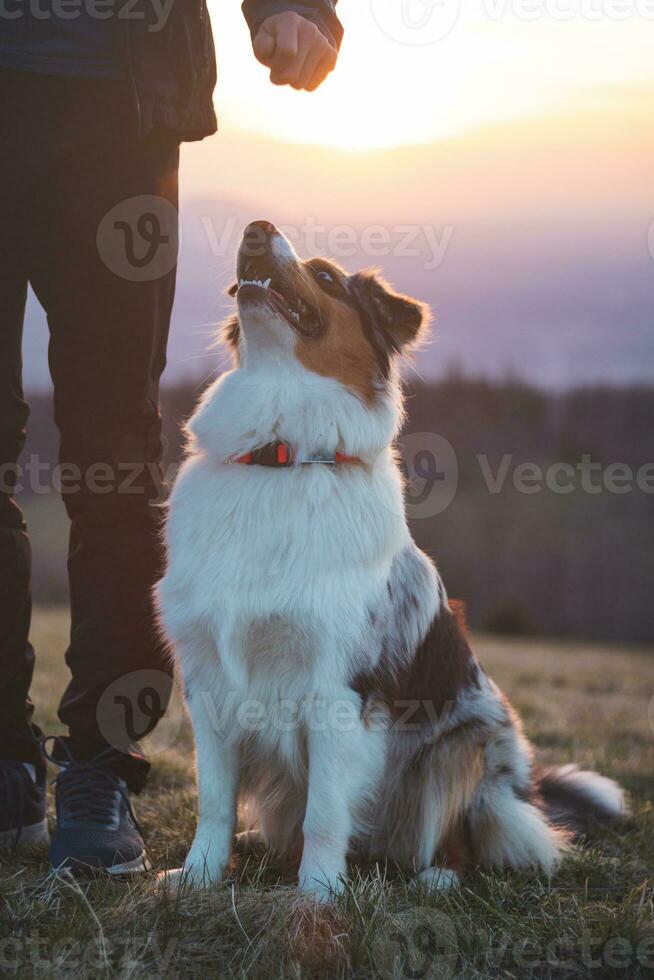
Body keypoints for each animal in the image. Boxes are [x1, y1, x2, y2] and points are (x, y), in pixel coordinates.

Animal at [155, 220, 632, 896]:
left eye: (325, 277)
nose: (256, 229)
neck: (279, 454)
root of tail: (527, 791)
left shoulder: (340, 687)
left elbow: (327, 810)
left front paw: (316, 896)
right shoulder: (210, 678)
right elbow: (215, 799)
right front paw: (198, 876)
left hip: (469, 740)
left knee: (457, 829)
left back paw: (437, 876)